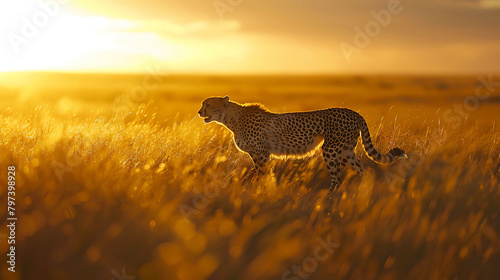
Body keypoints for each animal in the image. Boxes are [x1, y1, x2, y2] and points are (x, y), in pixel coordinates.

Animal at [197, 96, 408, 190]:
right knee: (366, 170)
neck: (231, 119)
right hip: (346, 151)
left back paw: (328, 200)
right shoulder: (259, 154)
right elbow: (264, 174)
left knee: (337, 176)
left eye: (208, 104)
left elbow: (263, 174)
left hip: (331, 149)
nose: (199, 112)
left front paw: (262, 190)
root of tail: (354, 112)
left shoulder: (262, 153)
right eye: (203, 104)